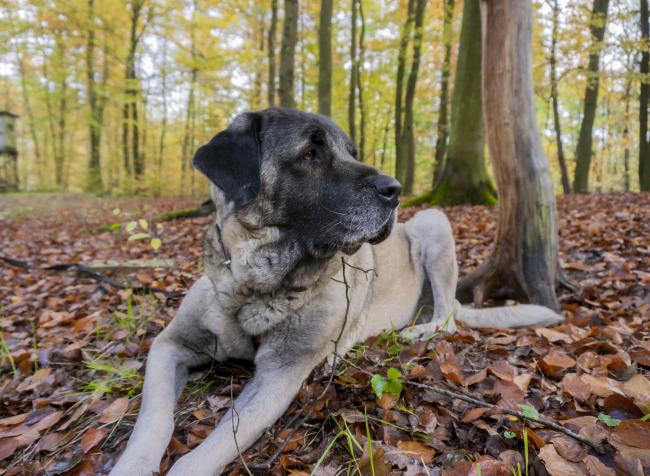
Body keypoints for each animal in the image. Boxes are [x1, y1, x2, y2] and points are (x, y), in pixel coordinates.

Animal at [109, 109, 560, 476]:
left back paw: (411, 332)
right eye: (311, 153)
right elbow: (153, 417)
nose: (395, 189)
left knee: (447, 317)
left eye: (351, 151)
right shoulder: (171, 344)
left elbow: (207, 450)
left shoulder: (280, 373)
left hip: (433, 221)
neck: (255, 284)